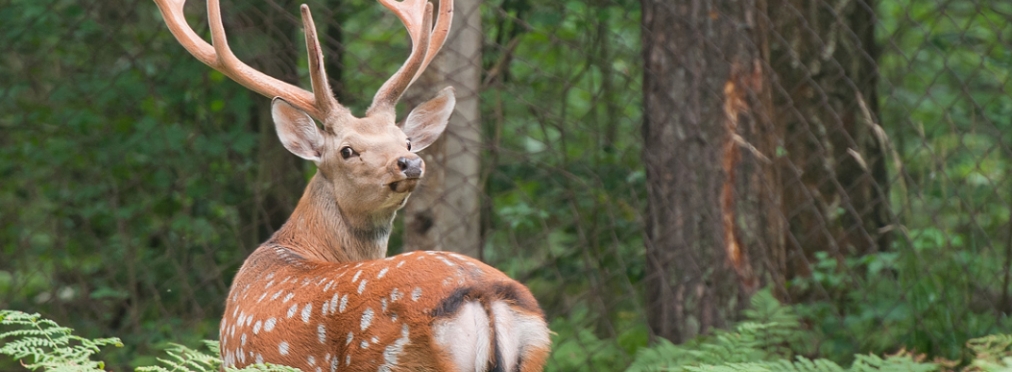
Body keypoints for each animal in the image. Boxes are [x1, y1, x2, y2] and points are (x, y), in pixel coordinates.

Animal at [151, 0, 554, 369]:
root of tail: (484, 295)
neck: (293, 246)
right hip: (535, 350)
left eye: (406, 141)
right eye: (347, 150)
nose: (410, 162)